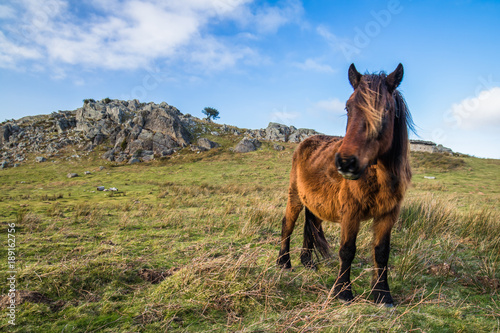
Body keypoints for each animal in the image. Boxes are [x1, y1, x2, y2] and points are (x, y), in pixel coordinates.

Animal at [278, 63, 414, 306]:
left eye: (386, 110)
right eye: (348, 107)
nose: (345, 162)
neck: (378, 176)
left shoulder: (388, 214)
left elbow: (382, 252)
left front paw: (382, 294)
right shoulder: (351, 212)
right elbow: (347, 250)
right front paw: (343, 292)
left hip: (315, 203)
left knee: (310, 226)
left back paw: (307, 262)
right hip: (295, 196)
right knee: (288, 224)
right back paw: (284, 262)